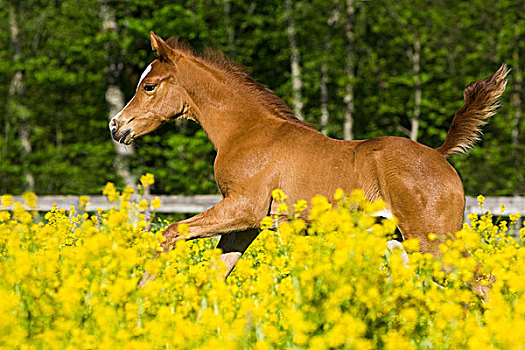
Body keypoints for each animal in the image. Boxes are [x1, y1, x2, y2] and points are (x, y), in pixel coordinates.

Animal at [108, 31, 506, 286]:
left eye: (149, 85)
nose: (117, 126)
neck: (245, 131)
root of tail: (439, 155)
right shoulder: (246, 225)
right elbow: (215, 273)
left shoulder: (243, 208)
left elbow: (171, 232)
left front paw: (143, 293)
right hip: (399, 240)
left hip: (433, 239)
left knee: (481, 280)